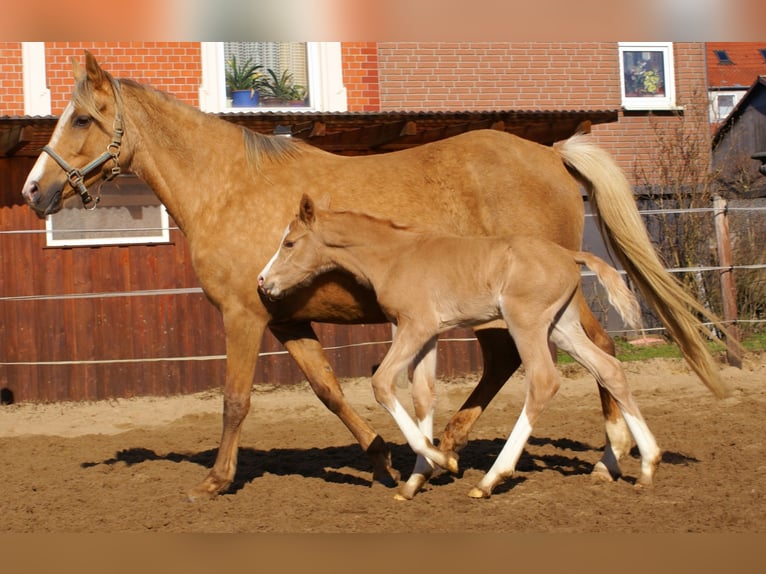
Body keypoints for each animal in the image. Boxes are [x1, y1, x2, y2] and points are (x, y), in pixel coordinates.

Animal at [260, 195, 664, 500]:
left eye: (289, 243)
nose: (264, 281)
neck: (396, 256)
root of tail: (569, 254)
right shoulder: (427, 333)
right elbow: (423, 395)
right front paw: (415, 480)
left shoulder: (415, 326)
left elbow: (382, 383)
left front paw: (441, 459)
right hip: (562, 326)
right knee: (609, 369)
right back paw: (648, 464)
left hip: (527, 324)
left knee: (544, 382)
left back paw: (491, 479)